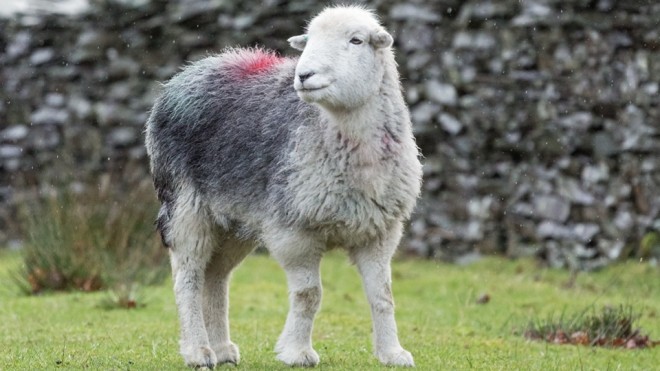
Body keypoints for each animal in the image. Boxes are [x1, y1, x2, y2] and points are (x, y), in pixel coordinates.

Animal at [144, 5, 422, 370]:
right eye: (309, 40)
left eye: (356, 40)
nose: (303, 75)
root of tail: (190, 70)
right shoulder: (294, 232)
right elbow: (309, 295)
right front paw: (297, 352)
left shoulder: (379, 232)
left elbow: (383, 296)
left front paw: (392, 353)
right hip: (185, 206)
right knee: (187, 278)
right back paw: (199, 351)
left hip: (233, 221)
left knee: (215, 278)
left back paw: (222, 348)